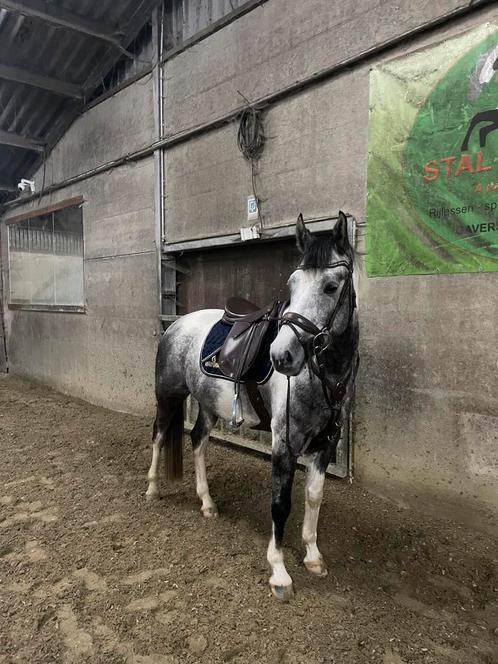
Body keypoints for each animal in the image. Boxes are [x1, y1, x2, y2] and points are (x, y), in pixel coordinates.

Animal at [146, 214, 360, 600]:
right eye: (292, 284)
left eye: (331, 286)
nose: (281, 356)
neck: (323, 375)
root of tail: (177, 324)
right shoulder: (284, 443)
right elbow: (281, 503)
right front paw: (279, 573)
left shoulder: (326, 443)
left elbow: (314, 496)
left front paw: (313, 557)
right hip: (167, 397)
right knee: (157, 435)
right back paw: (153, 489)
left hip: (208, 405)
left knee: (198, 441)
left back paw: (207, 503)